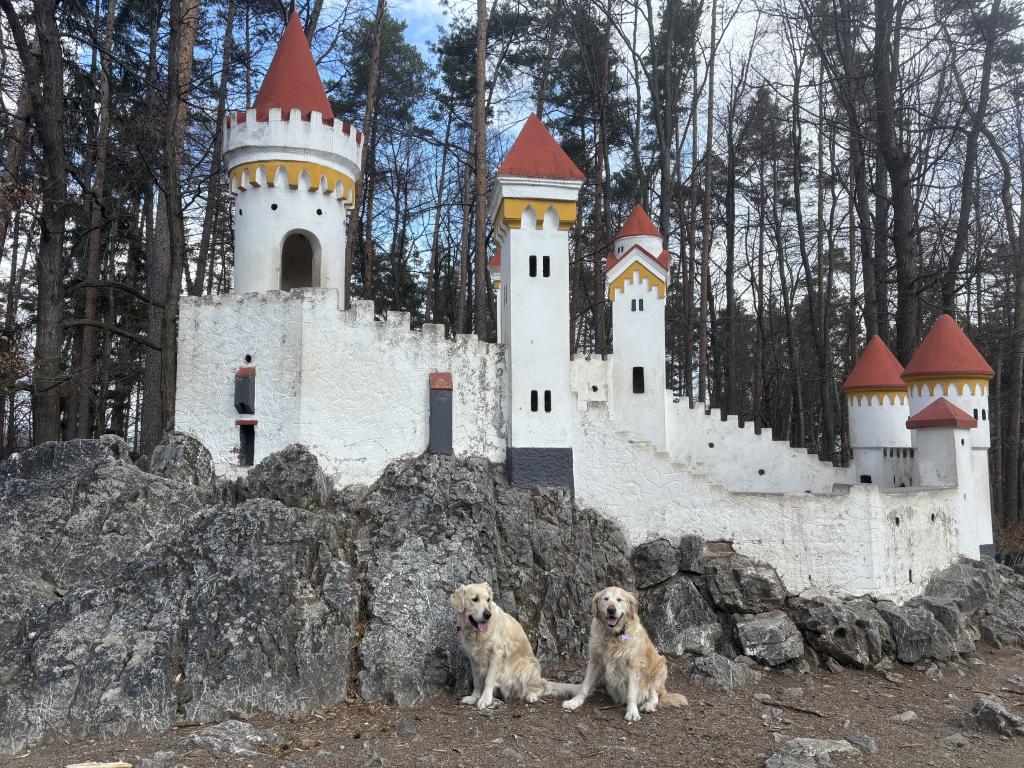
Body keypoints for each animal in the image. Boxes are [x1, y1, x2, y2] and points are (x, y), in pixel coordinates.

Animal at [449, 582, 578, 709]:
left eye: (488, 600)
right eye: (475, 599)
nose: (487, 614)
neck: (477, 634)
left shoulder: (497, 654)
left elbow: (488, 679)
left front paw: (485, 699)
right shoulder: (473, 658)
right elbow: (476, 681)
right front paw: (473, 697)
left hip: (526, 668)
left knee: (541, 687)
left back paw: (531, 696)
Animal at [562, 586, 688, 721]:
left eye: (619, 599)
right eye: (605, 598)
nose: (611, 609)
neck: (613, 636)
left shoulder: (633, 667)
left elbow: (631, 694)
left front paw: (632, 712)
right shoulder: (595, 661)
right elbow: (585, 686)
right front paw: (575, 702)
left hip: (660, 669)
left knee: (655, 695)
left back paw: (648, 705)